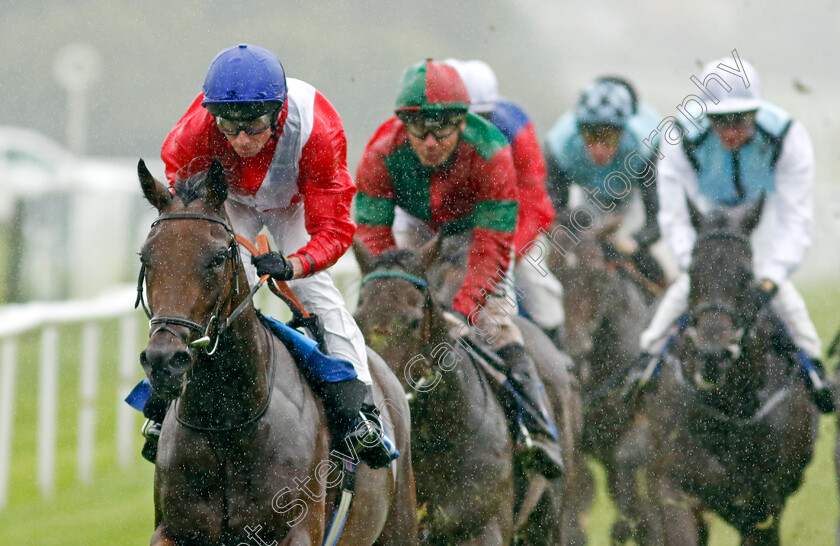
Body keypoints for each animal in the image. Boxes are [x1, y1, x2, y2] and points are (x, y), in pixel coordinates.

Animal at [136, 158, 418, 544]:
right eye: (146, 257)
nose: (165, 360)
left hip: (400, 521)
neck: (225, 423)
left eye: (218, 257)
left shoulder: (297, 529)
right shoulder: (171, 530)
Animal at [640, 197, 816, 544]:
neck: (728, 406)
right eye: (692, 272)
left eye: (746, 275)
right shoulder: (673, 486)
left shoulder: (762, 508)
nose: (713, 355)